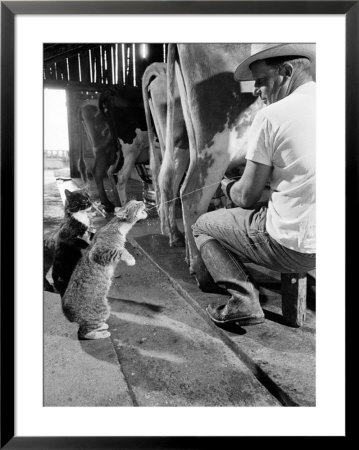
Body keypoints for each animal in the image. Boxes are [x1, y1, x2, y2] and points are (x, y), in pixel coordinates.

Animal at [62, 200, 148, 338]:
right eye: (135, 204)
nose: (142, 201)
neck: (118, 227)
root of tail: (67, 314)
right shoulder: (99, 252)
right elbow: (120, 250)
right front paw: (130, 259)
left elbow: (122, 248)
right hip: (103, 309)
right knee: (84, 333)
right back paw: (102, 333)